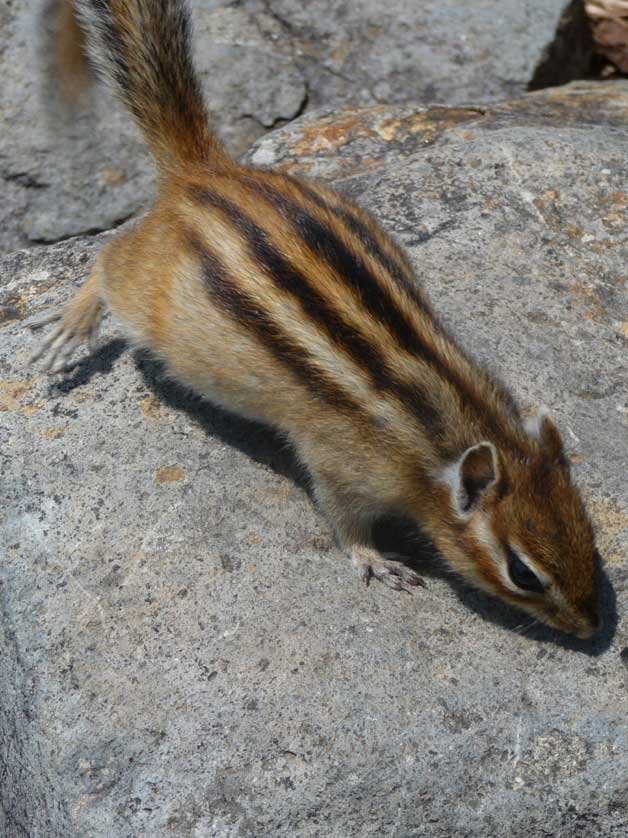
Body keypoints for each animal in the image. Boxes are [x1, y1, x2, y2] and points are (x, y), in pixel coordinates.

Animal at [30, 0, 601, 639]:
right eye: (524, 573)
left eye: (590, 536)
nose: (592, 628)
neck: (448, 430)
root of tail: (204, 172)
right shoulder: (344, 469)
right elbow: (342, 519)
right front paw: (375, 560)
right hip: (153, 309)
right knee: (108, 260)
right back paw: (72, 325)